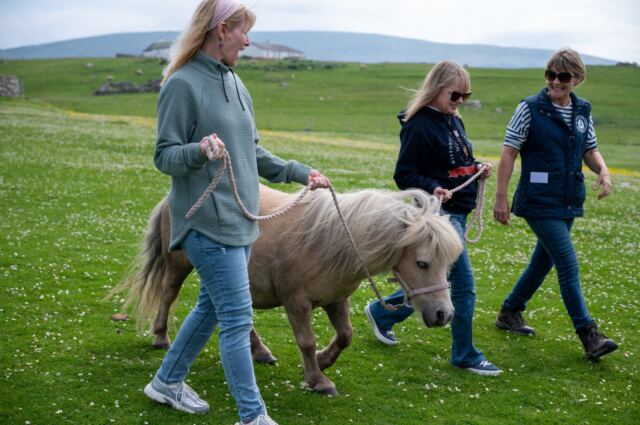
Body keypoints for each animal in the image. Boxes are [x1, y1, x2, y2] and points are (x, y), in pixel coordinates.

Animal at [112, 184, 463, 395]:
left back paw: (259, 351)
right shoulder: (297, 303)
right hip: (178, 267)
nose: (444, 314)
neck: (332, 242)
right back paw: (161, 336)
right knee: (168, 294)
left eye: (448, 264)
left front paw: (323, 361)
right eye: (422, 263)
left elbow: (345, 336)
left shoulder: (337, 300)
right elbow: (306, 342)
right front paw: (318, 379)